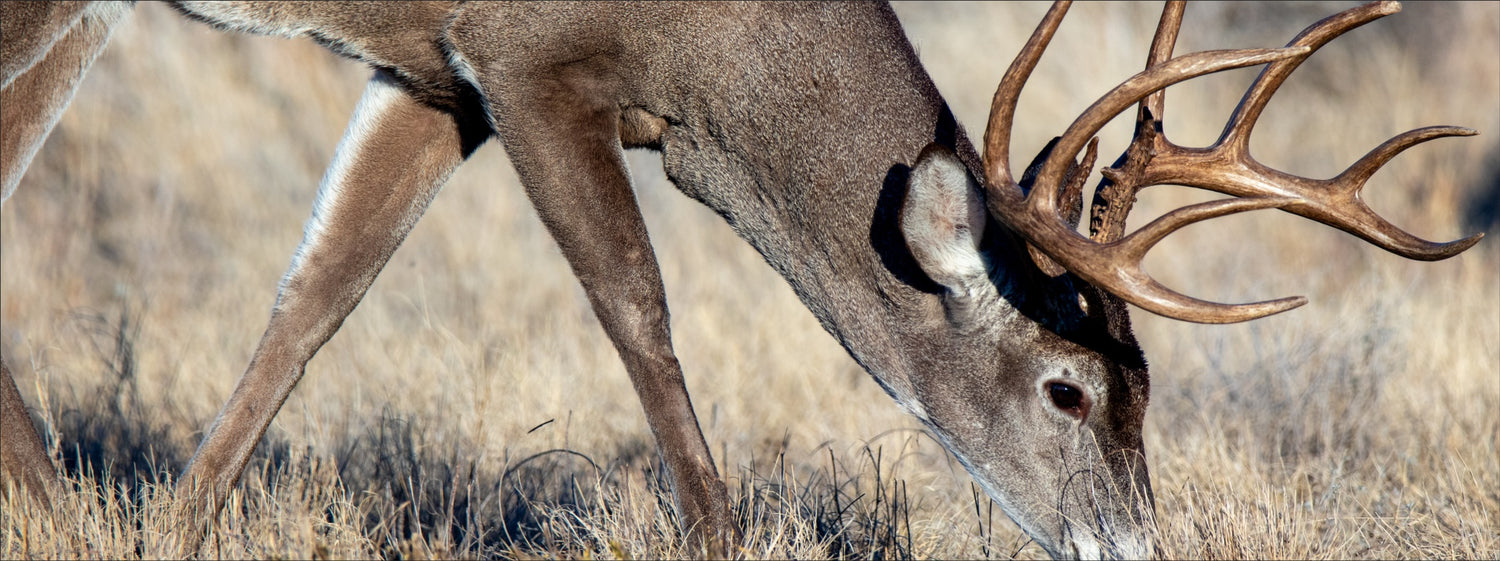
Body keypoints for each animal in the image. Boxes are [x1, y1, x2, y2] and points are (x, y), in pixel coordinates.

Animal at [0, 2, 1476, 558]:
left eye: (1148, 389)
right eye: (1068, 389)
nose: (1133, 545)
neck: (711, 57)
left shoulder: (433, 74)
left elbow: (318, 292)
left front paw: (173, 525)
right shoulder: (531, 64)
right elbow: (638, 306)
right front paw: (719, 537)